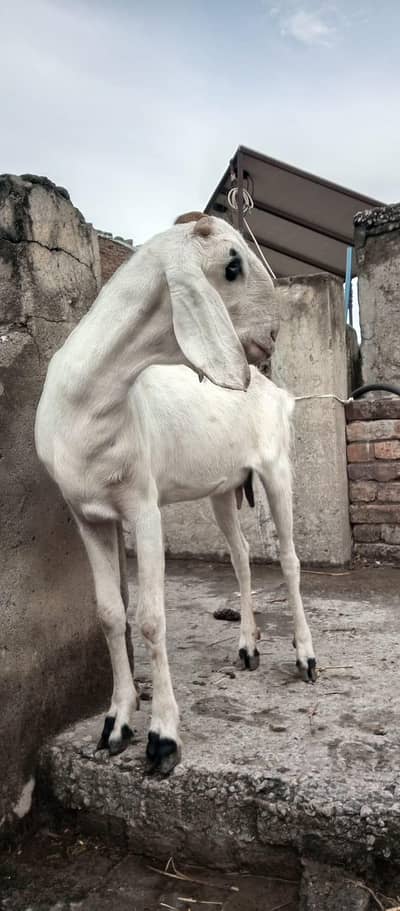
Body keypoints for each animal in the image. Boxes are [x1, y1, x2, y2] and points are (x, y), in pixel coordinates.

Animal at [35, 215, 280, 772]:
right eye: (231, 265)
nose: (273, 334)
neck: (91, 403)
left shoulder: (143, 508)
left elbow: (149, 618)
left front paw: (163, 737)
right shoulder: (88, 516)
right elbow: (110, 614)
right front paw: (116, 723)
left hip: (274, 471)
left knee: (281, 560)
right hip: (223, 488)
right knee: (242, 556)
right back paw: (249, 645)